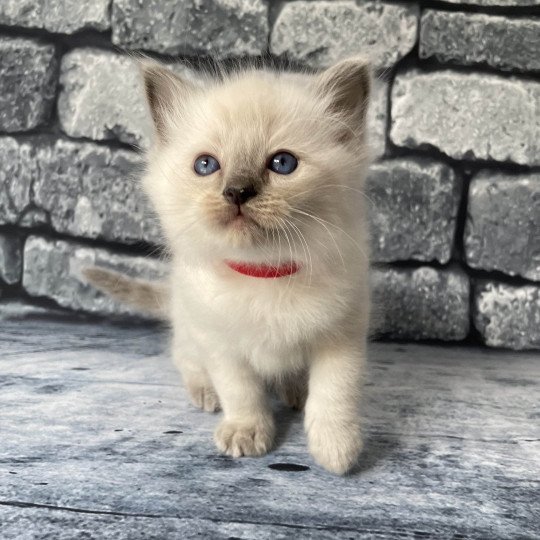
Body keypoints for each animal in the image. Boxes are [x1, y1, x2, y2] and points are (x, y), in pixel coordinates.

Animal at [86, 57, 374, 474]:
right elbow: (242, 393)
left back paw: (294, 392)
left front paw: (336, 448)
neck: (265, 274)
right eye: (206, 165)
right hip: (188, 329)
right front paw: (246, 432)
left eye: (282, 163)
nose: (237, 192)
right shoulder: (220, 343)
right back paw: (206, 394)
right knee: (184, 359)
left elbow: (334, 392)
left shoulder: (342, 335)